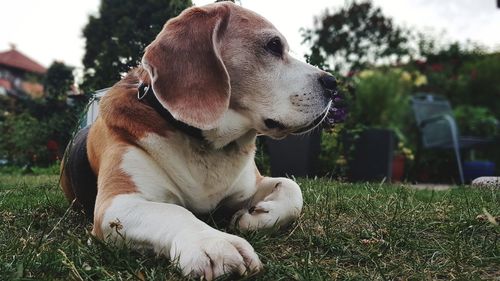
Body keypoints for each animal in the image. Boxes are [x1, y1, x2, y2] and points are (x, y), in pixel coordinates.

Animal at [60, 1, 338, 278]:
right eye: (273, 45)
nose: (333, 84)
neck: (206, 143)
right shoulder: (115, 206)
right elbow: (173, 211)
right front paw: (213, 243)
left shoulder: (250, 185)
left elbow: (293, 188)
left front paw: (259, 215)